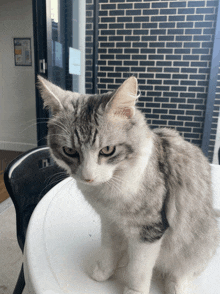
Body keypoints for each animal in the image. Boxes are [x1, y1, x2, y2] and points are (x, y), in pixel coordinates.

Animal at [37, 76, 218, 294]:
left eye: (107, 150)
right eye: (69, 151)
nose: (88, 177)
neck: (109, 188)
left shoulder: (148, 230)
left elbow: (138, 269)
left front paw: (134, 290)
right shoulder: (109, 221)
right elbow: (109, 251)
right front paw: (103, 273)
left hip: (199, 241)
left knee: (183, 271)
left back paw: (175, 285)